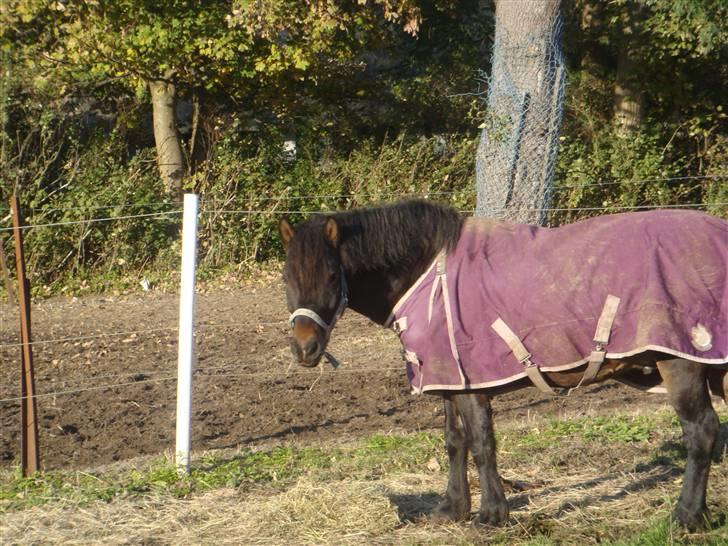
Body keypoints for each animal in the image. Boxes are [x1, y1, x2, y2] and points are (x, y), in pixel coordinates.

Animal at [278, 200, 724, 528]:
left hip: (681, 364)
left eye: (332, 274)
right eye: (286, 278)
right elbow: (454, 441)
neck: (428, 273)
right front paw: (451, 509)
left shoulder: (471, 384)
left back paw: (686, 516)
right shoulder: (449, 379)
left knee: (701, 432)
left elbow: (481, 443)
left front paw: (491, 514)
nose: (305, 348)